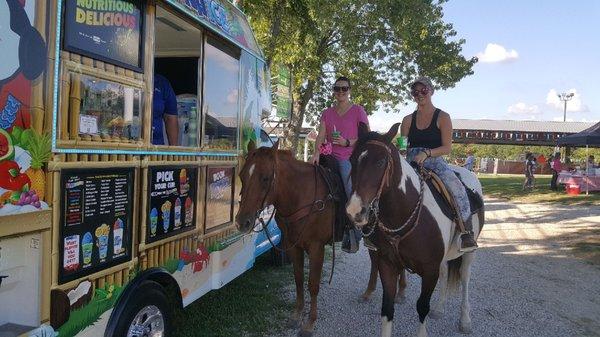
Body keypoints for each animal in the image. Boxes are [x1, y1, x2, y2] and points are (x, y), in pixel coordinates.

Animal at [237, 140, 344, 336]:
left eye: (265, 178)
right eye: (242, 175)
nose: (242, 222)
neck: (302, 196)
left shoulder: (317, 248)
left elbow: (313, 284)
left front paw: (309, 323)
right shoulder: (294, 246)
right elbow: (298, 279)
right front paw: (296, 315)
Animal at [346, 122, 482, 336]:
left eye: (381, 161)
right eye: (352, 160)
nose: (354, 211)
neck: (404, 213)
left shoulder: (430, 270)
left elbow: (422, 307)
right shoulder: (388, 265)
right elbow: (387, 308)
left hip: (469, 252)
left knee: (465, 279)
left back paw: (465, 320)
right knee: (446, 274)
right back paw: (439, 309)